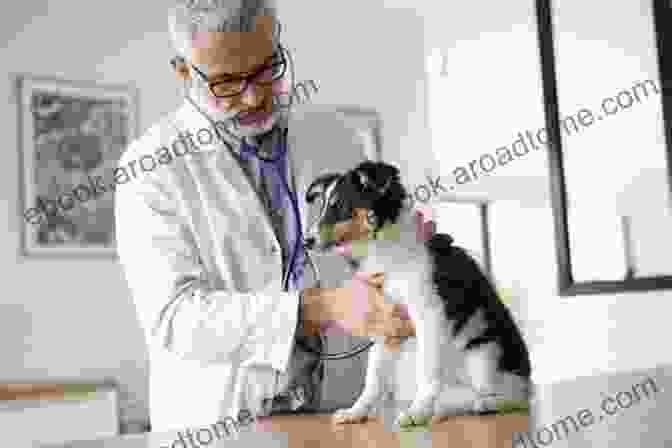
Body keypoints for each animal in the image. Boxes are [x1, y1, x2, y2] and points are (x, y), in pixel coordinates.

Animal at [304, 160, 532, 428]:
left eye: (339, 206)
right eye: (322, 207)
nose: (306, 241)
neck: (385, 248)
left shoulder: (429, 315)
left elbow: (427, 371)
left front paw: (417, 413)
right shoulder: (386, 326)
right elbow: (374, 378)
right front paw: (356, 412)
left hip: (483, 356)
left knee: (511, 395)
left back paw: (486, 404)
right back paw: (450, 407)